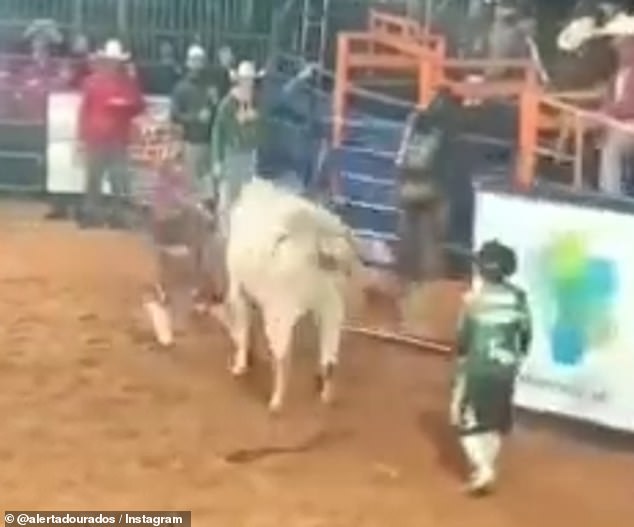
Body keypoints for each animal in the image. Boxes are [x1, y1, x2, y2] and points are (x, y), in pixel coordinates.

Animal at [223, 179, 360, 414]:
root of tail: (317, 234)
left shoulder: (238, 291)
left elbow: (242, 330)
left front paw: (240, 365)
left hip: (280, 311)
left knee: (282, 360)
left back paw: (276, 402)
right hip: (331, 308)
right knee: (330, 358)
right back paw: (325, 393)